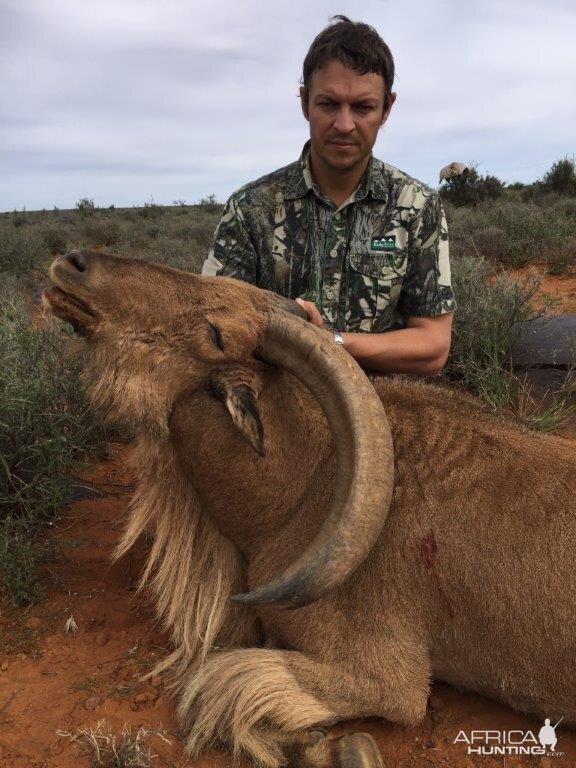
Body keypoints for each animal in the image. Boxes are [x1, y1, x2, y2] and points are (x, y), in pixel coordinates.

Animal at [44, 249, 576, 764]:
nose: (74, 264)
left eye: (215, 333)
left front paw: (341, 749)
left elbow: (219, 684)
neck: (304, 490)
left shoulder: (380, 679)